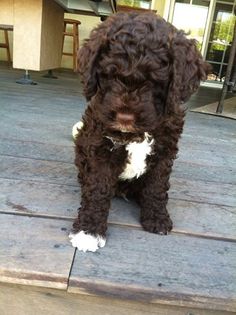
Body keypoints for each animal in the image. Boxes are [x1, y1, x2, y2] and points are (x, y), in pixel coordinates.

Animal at [69, 12, 209, 253]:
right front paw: (88, 231)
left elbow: (156, 186)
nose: (125, 117)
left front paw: (157, 218)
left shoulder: (164, 152)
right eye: (110, 75)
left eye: (154, 81)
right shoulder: (100, 149)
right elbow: (97, 189)